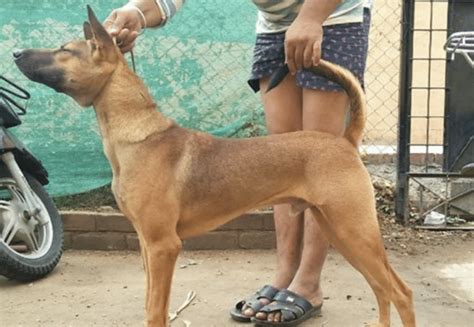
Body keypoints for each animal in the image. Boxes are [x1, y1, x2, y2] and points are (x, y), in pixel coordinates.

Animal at [12, 5, 416, 327]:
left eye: (64, 50)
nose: (15, 52)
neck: (137, 135)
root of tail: (345, 140)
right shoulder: (146, 245)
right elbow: (150, 305)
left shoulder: (163, 247)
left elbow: (155, 311)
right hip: (340, 232)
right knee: (381, 288)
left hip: (354, 230)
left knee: (401, 292)